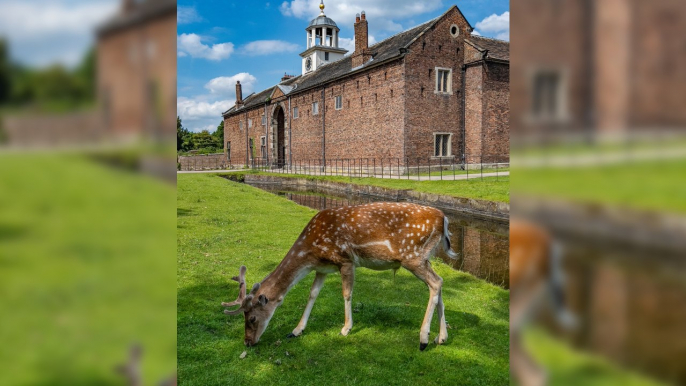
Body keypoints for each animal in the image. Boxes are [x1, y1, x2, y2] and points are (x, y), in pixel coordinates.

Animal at [223, 202, 460, 350]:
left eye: (252, 318)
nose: (247, 342)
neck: (310, 251)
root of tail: (444, 219)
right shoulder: (322, 268)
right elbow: (312, 294)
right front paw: (296, 330)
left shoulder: (345, 260)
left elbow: (346, 293)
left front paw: (345, 328)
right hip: (424, 257)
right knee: (438, 284)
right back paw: (441, 337)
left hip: (412, 256)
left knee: (435, 283)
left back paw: (423, 339)